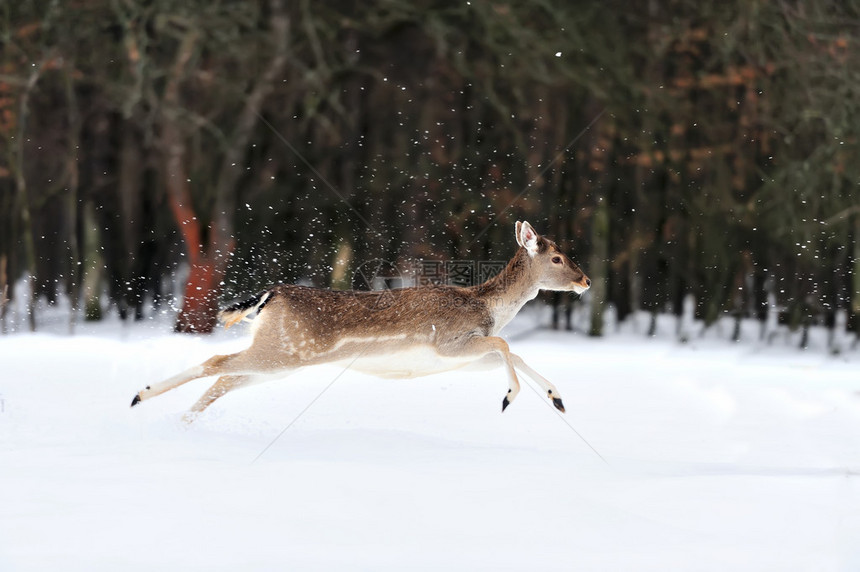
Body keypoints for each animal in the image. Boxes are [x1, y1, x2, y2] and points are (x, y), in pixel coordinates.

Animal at [131, 221, 592, 422]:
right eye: (556, 258)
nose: (585, 280)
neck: (487, 308)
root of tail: (270, 295)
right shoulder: (449, 342)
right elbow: (505, 344)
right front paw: (508, 398)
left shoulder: (461, 358)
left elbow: (512, 352)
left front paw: (557, 398)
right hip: (284, 352)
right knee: (216, 364)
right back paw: (140, 395)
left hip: (279, 358)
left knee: (225, 377)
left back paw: (180, 420)